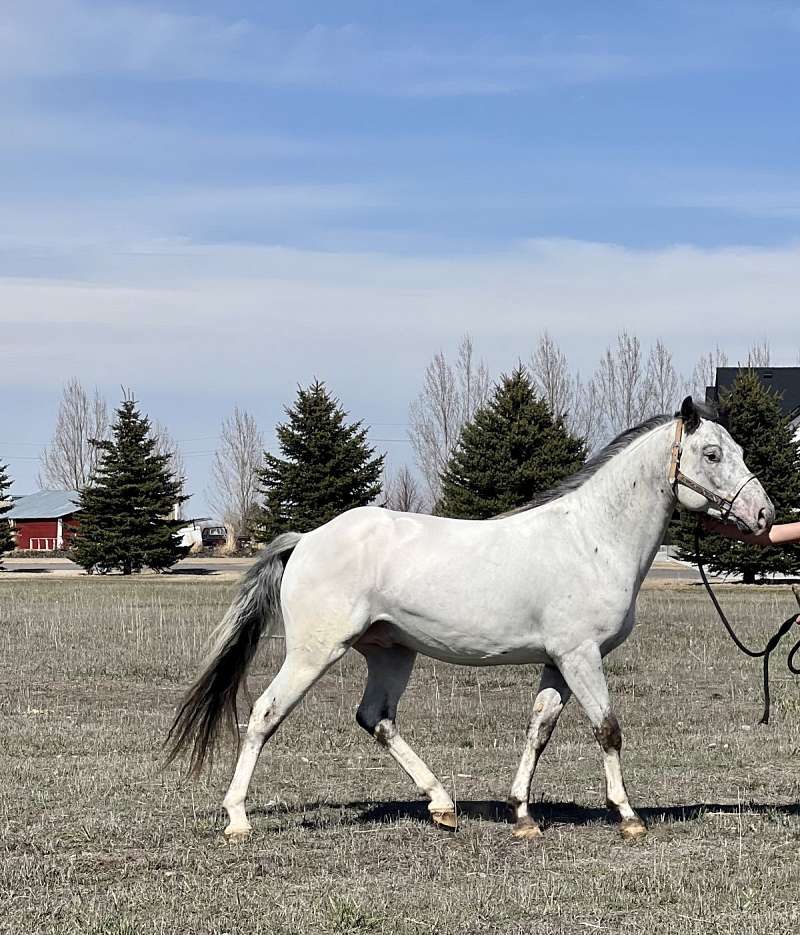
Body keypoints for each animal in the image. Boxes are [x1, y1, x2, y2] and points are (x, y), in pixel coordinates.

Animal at [166, 397, 773, 841]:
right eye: (712, 454)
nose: (764, 515)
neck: (591, 537)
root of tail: (307, 539)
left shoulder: (558, 661)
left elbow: (539, 730)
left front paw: (523, 815)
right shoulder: (581, 656)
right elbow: (607, 729)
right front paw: (627, 817)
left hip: (391, 651)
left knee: (376, 718)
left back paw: (443, 805)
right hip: (315, 652)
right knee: (265, 714)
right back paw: (238, 820)